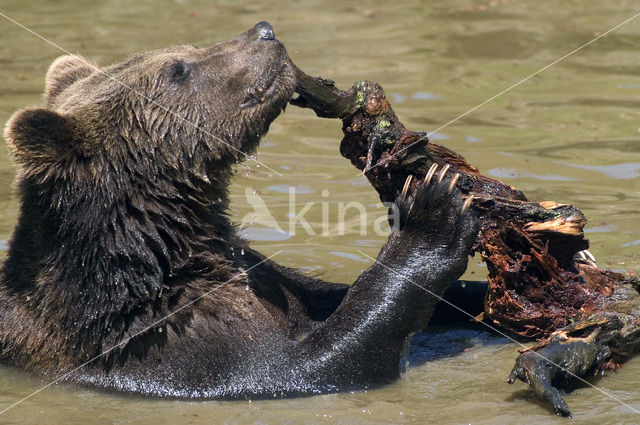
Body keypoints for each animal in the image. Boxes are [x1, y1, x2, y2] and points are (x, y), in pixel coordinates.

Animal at [0, 22, 478, 398]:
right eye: (178, 69)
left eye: (189, 48)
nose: (265, 31)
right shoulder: (164, 339)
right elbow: (308, 365)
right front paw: (433, 211)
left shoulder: (258, 273)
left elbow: (324, 296)